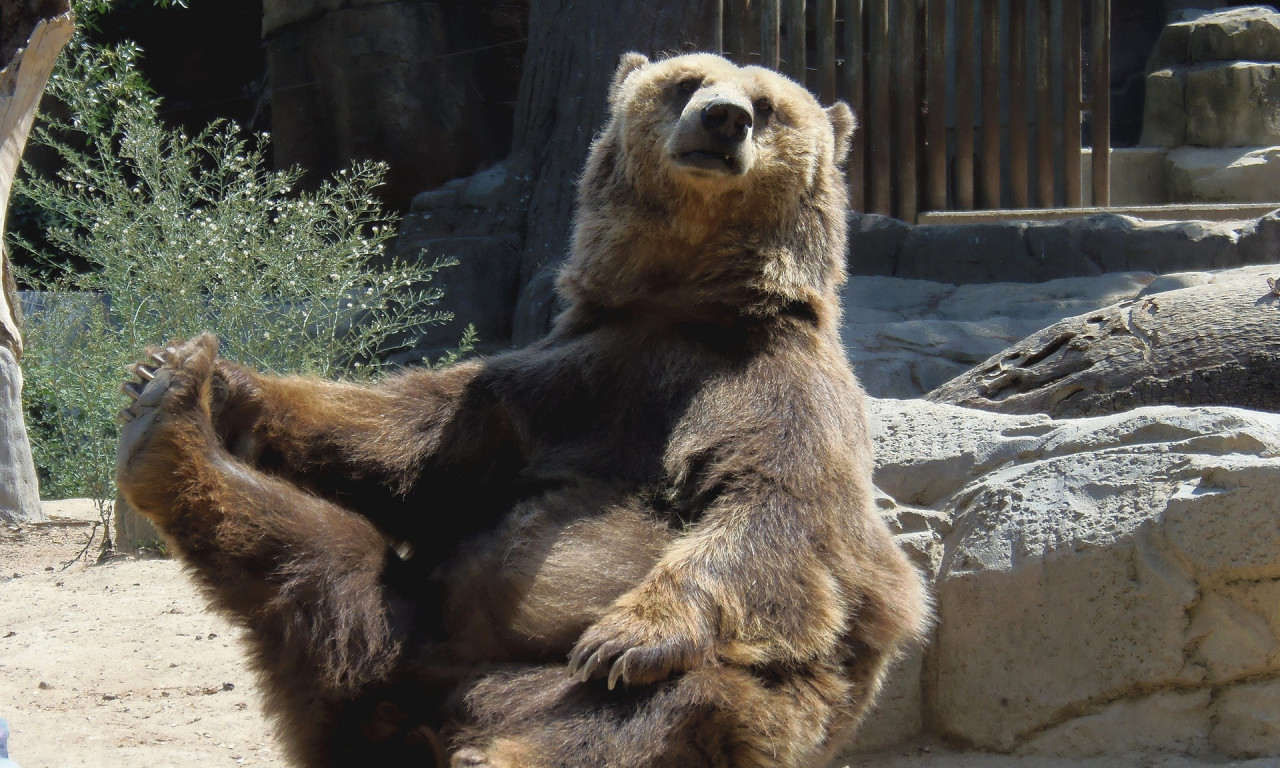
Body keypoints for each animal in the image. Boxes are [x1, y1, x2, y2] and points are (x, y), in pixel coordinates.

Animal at [115, 52, 926, 768]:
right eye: (687, 81)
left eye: (767, 103)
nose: (724, 119)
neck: (687, 303)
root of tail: (423, 713)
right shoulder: (570, 380)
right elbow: (411, 440)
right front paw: (204, 374)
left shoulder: (775, 392)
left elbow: (777, 509)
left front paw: (631, 632)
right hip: (402, 629)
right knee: (316, 558)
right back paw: (168, 418)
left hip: (698, 708)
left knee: (648, 710)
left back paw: (507, 744)